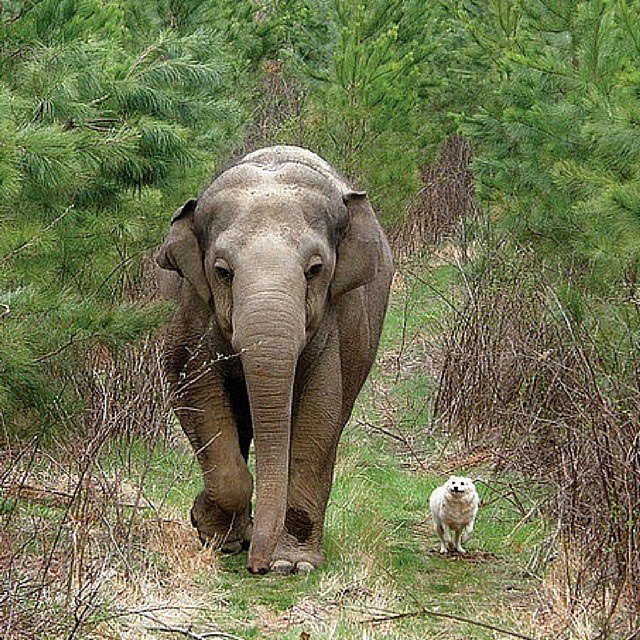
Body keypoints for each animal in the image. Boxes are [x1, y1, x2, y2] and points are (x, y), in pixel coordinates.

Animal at [157, 145, 392, 576]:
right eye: (222, 271)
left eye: (315, 269)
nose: (258, 566)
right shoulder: (189, 309)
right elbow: (195, 390)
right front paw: (210, 529)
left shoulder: (334, 321)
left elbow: (319, 417)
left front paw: (293, 565)